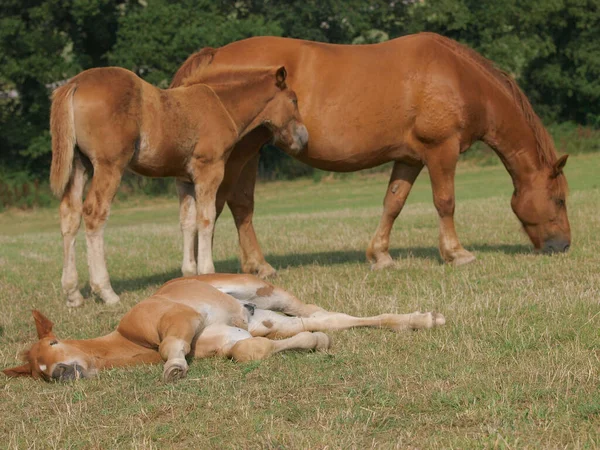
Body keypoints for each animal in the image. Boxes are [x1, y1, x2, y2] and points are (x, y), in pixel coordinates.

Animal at [49, 65, 308, 308]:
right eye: (293, 100)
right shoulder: (209, 171)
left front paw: (190, 275)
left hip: (79, 165)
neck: (221, 105)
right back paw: (106, 291)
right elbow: (206, 218)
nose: (303, 137)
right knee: (94, 214)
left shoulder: (184, 181)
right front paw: (208, 272)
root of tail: (74, 83)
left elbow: (187, 222)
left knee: (70, 215)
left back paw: (73, 294)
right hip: (109, 166)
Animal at [170, 32, 572, 278]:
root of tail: (215, 56)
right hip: (240, 153)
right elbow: (445, 202)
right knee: (224, 205)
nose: (563, 246)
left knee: (236, 206)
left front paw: (380, 256)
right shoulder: (441, 150)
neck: (458, 78)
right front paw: (457, 253)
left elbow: (393, 203)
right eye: (560, 199)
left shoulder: (410, 158)